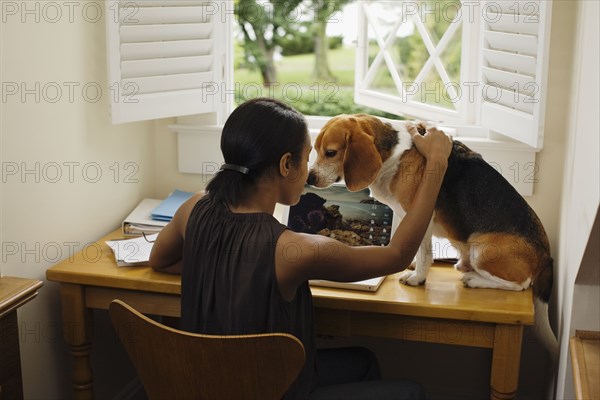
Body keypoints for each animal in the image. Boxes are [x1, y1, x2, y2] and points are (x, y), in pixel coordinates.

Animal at [310, 113, 556, 360]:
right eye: (315, 149)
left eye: (330, 152)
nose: (309, 178)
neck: (393, 152)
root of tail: (546, 255)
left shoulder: (421, 216)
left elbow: (423, 252)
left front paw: (418, 277)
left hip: (482, 249)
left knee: (521, 285)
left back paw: (474, 279)